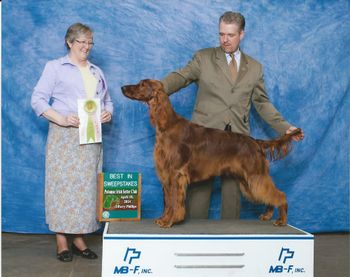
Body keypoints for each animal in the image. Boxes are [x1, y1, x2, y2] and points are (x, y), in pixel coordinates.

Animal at [121, 78, 302, 227]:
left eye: (142, 84)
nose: (122, 87)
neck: (166, 125)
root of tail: (255, 141)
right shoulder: (166, 174)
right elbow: (168, 201)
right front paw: (164, 219)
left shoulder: (175, 173)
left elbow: (173, 201)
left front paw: (169, 221)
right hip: (247, 179)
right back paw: (267, 215)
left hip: (255, 174)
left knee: (279, 195)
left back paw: (281, 220)